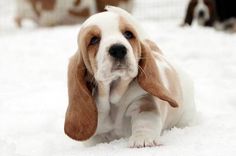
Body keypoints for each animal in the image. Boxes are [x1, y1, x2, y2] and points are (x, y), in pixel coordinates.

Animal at [64, 6, 195, 147]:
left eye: (128, 34)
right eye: (94, 40)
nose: (118, 49)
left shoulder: (144, 101)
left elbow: (145, 121)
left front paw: (142, 140)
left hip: (187, 114)